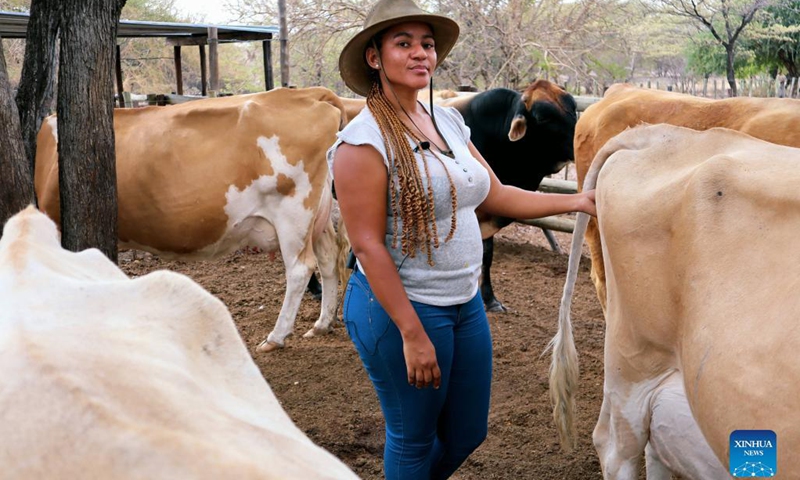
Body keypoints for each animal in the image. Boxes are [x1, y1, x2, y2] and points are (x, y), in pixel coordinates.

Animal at [36, 86, 346, 350]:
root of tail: (310, 93)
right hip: (317, 217)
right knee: (328, 258)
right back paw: (322, 323)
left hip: (293, 213)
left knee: (299, 269)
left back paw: (276, 337)